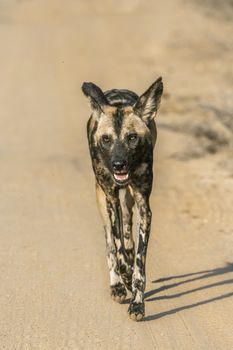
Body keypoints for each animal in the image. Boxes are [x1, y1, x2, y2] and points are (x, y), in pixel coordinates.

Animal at [83, 78, 163, 322]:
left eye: (132, 138)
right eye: (106, 139)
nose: (119, 164)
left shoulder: (144, 207)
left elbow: (139, 264)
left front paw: (137, 304)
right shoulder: (110, 199)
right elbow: (116, 245)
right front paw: (124, 277)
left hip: (128, 197)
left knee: (127, 227)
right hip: (103, 198)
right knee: (110, 241)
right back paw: (117, 284)